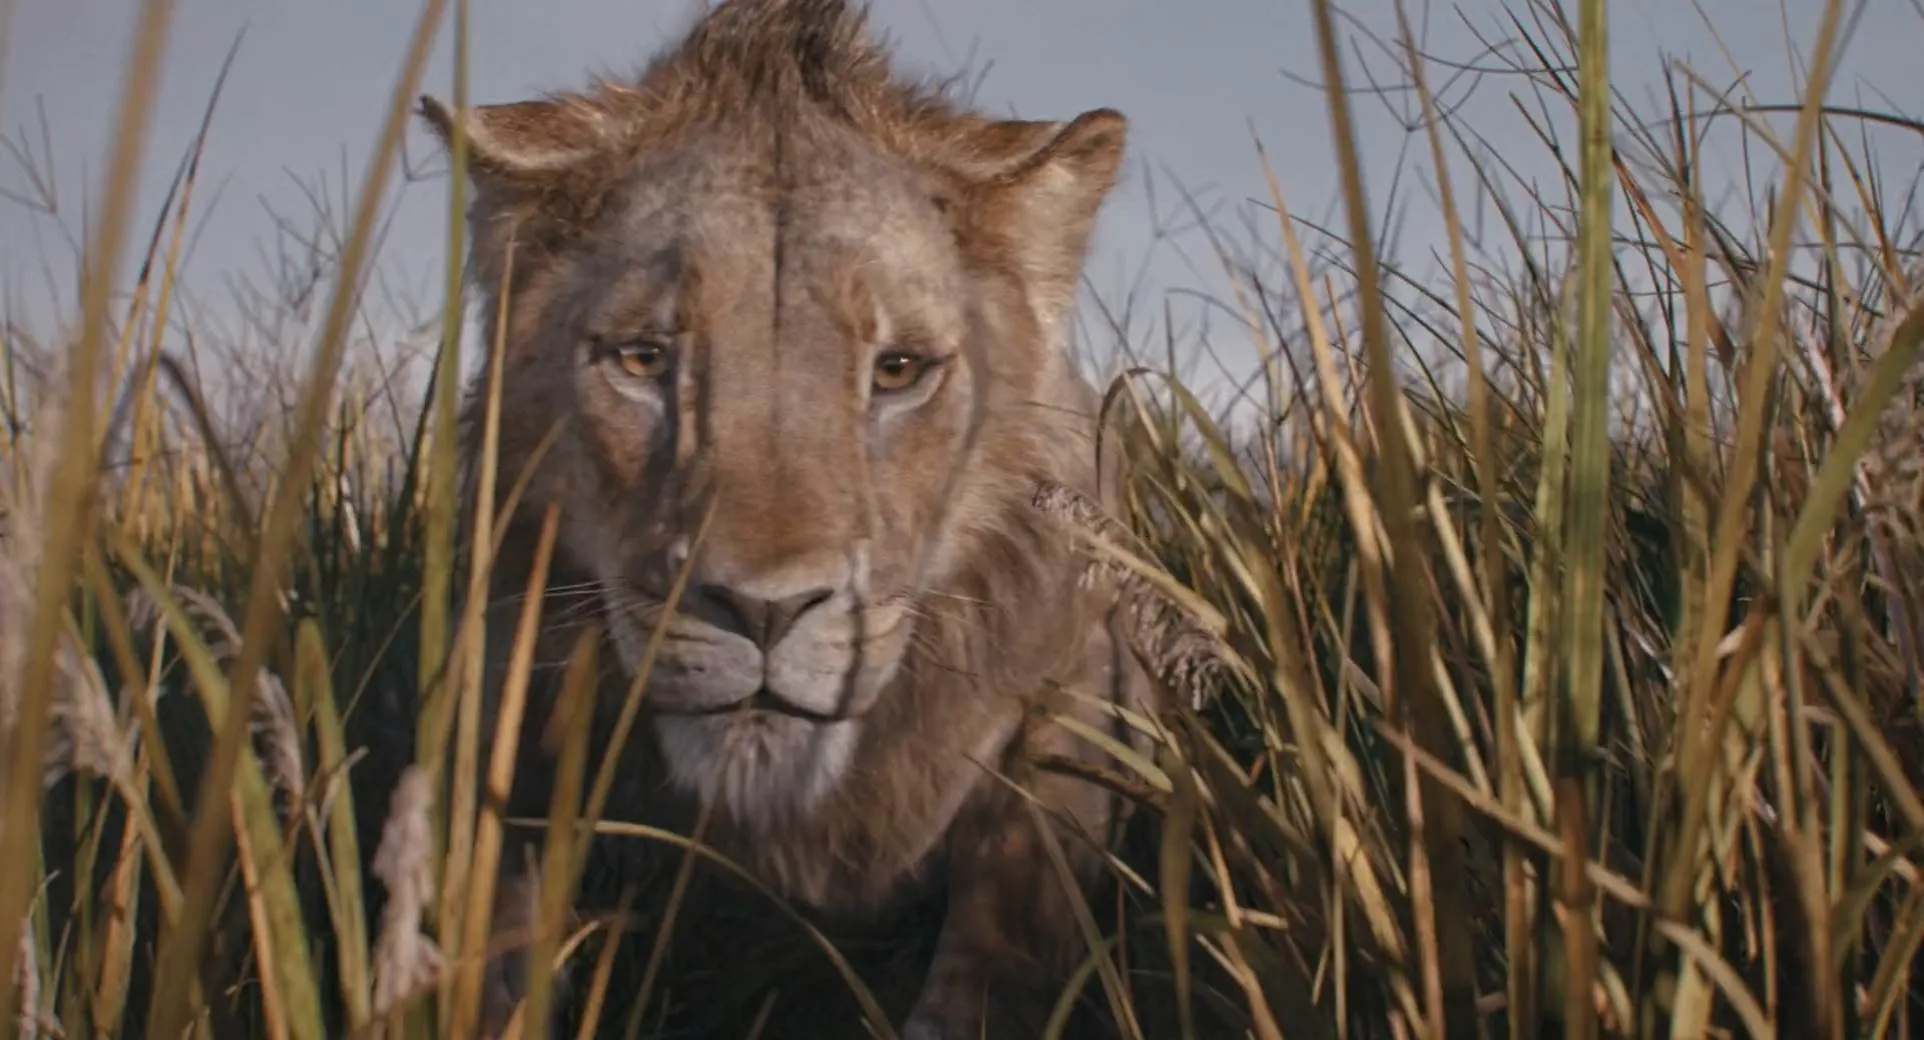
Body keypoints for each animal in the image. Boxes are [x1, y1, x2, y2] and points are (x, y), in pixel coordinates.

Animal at [418, 1, 1159, 1035]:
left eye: (898, 370)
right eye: (643, 359)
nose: (764, 612)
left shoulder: (1077, 709)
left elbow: (991, 961)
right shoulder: (500, 720)